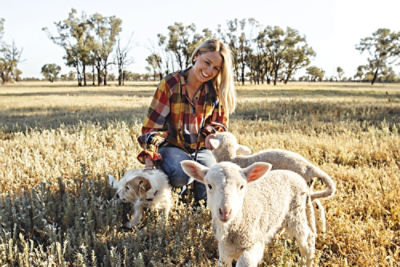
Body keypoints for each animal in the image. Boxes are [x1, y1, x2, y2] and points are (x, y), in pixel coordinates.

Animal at [183, 160, 318, 266]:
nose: (225, 211)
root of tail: (298, 177)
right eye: (209, 186)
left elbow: (244, 262)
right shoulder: (224, 248)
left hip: (296, 212)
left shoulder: (255, 243)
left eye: (242, 186)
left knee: (307, 239)